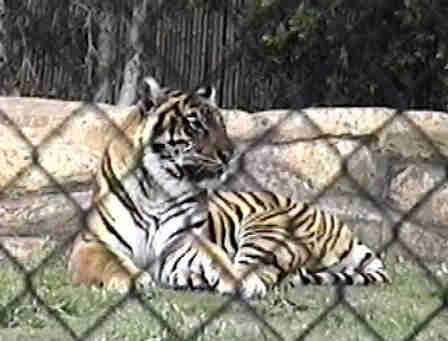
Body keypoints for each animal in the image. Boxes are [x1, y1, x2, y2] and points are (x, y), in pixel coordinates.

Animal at [68, 76, 390, 298]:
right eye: (195, 125)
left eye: (221, 123)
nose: (230, 153)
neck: (158, 188)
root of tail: (343, 228)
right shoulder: (90, 244)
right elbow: (111, 262)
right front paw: (136, 280)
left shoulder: (182, 244)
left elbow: (220, 259)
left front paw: (238, 281)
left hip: (266, 228)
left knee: (270, 271)